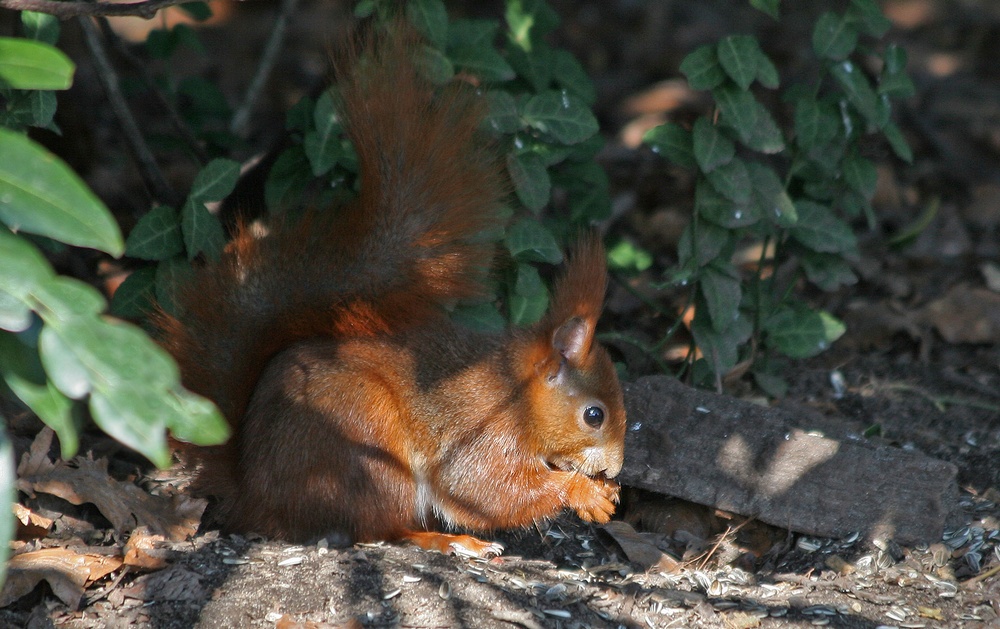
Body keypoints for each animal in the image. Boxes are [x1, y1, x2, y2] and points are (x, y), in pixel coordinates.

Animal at [156, 27, 624, 556]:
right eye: (594, 415)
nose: (615, 469)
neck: (516, 393)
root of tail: (256, 497)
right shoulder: (484, 433)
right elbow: (485, 487)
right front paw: (583, 492)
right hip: (369, 448)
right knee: (379, 528)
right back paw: (450, 542)